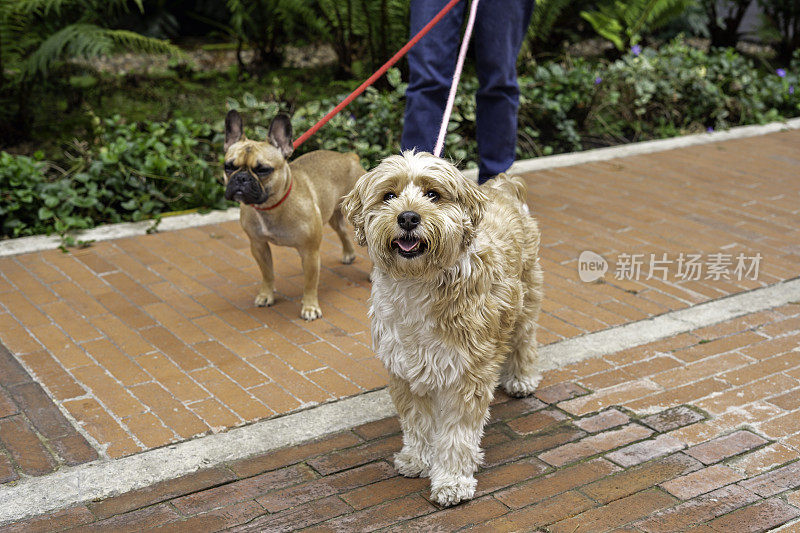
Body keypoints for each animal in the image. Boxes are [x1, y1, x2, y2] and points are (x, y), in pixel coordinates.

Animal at [340, 151, 540, 508]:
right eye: (389, 195)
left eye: (433, 194)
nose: (408, 217)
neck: (418, 282)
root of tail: (502, 186)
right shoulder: (405, 367)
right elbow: (417, 421)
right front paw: (418, 458)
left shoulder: (467, 371)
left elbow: (456, 435)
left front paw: (452, 481)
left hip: (526, 296)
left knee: (524, 339)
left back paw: (521, 378)